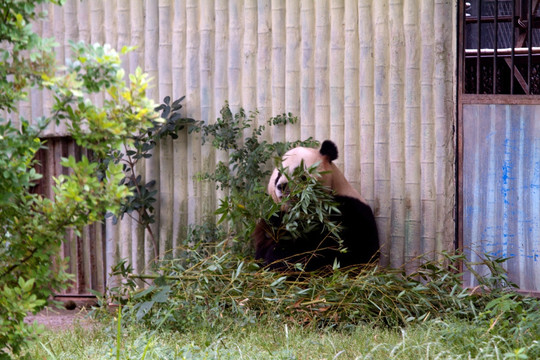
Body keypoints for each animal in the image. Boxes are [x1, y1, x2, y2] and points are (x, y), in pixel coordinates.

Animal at [253, 140, 380, 270]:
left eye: (301, 175)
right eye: (278, 175)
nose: (282, 186)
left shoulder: (348, 211)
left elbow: (334, 248)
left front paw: (279, 260)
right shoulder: (277, 216)